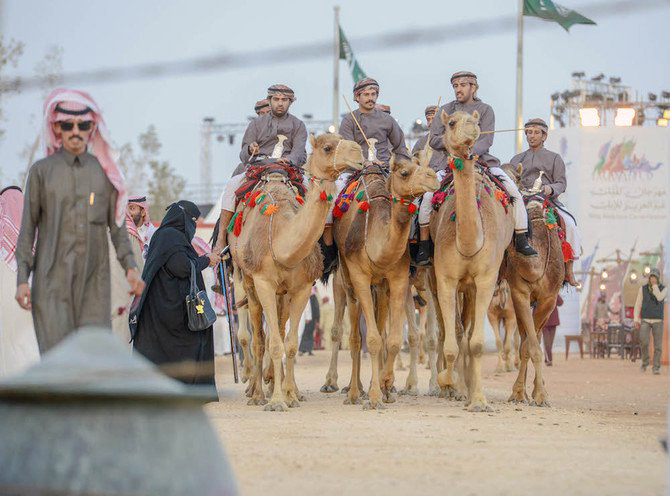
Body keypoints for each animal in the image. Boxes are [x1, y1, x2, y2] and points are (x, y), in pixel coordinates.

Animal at [232, 133, 368, 410]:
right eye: (327, 147)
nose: (359, 154)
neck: (281, 242)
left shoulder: (302, 288)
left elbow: (291, 343)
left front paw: (290, 396)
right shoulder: (264, 283)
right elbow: (273, 343)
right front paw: (275, 401)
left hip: (283, 294)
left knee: (278, 331)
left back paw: (281, 386)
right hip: (248, 284)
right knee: (257, 337)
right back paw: (256, 393)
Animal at [336, 157, 440, 408]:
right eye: (404, 173)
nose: (433, 177)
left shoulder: (398, 278)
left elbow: (392, 340)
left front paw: (386, 385)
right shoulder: (360, 277)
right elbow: (372, 339)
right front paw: (374, 396)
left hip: (383, 287)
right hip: (347, 280)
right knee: (355, 336)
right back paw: (353, 393)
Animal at [430, 110, 516, 412]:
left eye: (477, 122)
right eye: (451, 122)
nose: (472, 129)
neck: (468, 244)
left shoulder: (486, 280)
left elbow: (476, 342)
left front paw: (478, 399)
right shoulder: (445, 279)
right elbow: (451, 342)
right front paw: (447, 381)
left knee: (467, 333)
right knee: (452, 332)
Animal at [502, 163, 564, 406]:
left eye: (515, 181)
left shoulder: (549, 299)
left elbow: (533, 344)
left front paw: (541, 395)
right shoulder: (519, 293)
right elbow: (528, 346)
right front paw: (519, 393)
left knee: (535, 336)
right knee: (525, 340)